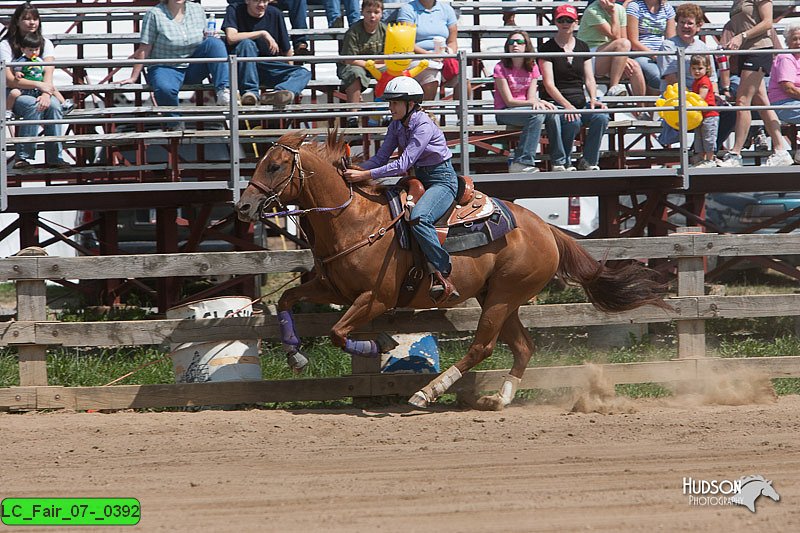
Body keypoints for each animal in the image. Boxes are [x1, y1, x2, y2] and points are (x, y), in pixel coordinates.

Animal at [236, 131, 668, 410]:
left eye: (275, 166)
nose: (243, 207)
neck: (353, 220)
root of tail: (546, 230)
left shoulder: (375, 298)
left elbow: (339, 333)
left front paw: (382, 345)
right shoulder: (331, 289)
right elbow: (287, 300)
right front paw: (295, 356)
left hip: (501, 299)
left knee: (483, 346)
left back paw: (428, 391)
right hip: (501, 298)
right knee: (523, 347)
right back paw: (498, 399)